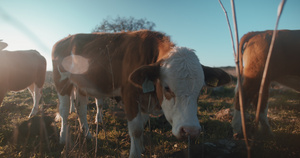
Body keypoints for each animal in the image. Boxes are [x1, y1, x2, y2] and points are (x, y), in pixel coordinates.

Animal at [51, 29, 231, 157]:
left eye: (200, 89)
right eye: (167, 88)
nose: (190, 131)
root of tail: (63, 40)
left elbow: (143, 124)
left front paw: (142, 147)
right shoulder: (130, 95)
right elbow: (136, 128)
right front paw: (135, 153)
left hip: (81, 84)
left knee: (81, 109)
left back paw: (87, 134)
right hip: (62, 81)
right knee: (65, 111)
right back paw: (62, 138)